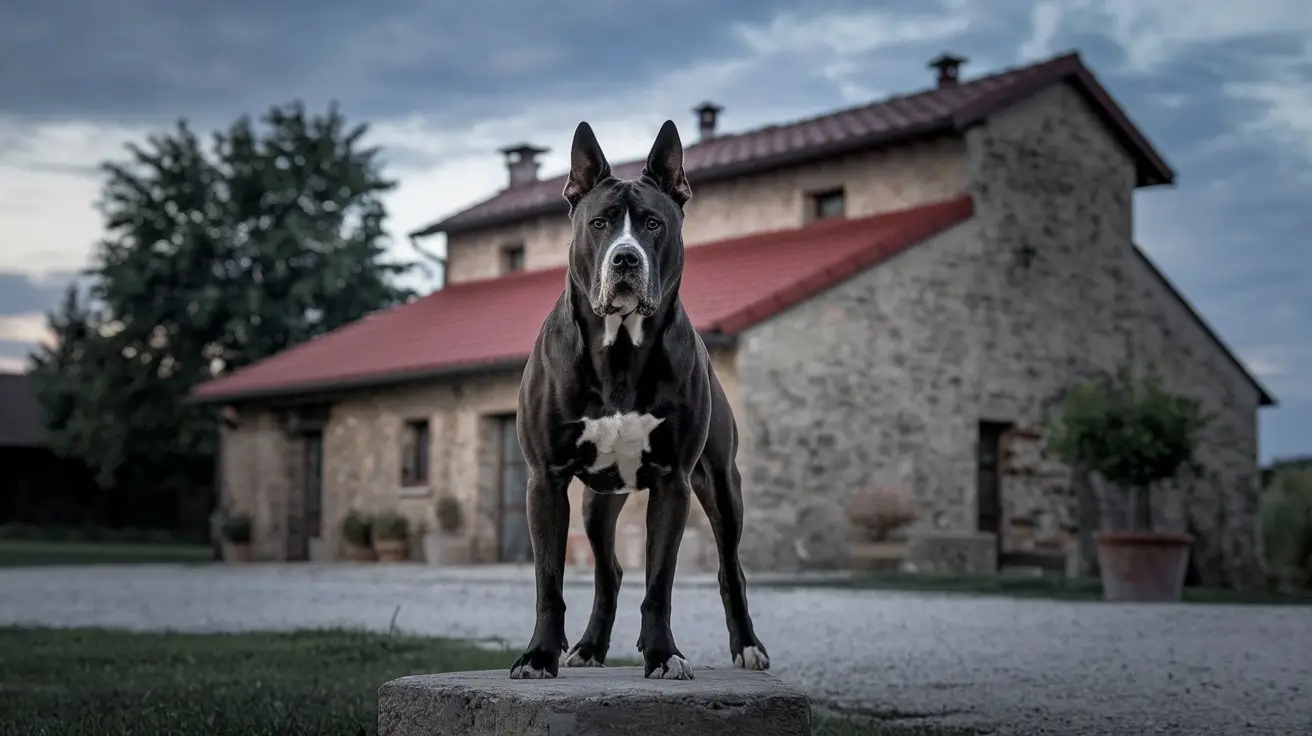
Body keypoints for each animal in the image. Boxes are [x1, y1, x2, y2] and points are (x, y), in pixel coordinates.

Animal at [503, 119, 766, 676]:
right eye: (600, 223)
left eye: (652, 223)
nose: (625, 258)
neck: (620, 349)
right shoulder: (545, 480)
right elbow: (549, 582)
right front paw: (539, 655)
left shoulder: (675, 482)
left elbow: (660, 581)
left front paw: (663, 653)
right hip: (597, 503)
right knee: (610, 572)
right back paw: (589, 647)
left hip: (721, 485)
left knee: (730, 569)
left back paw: (748, 646)